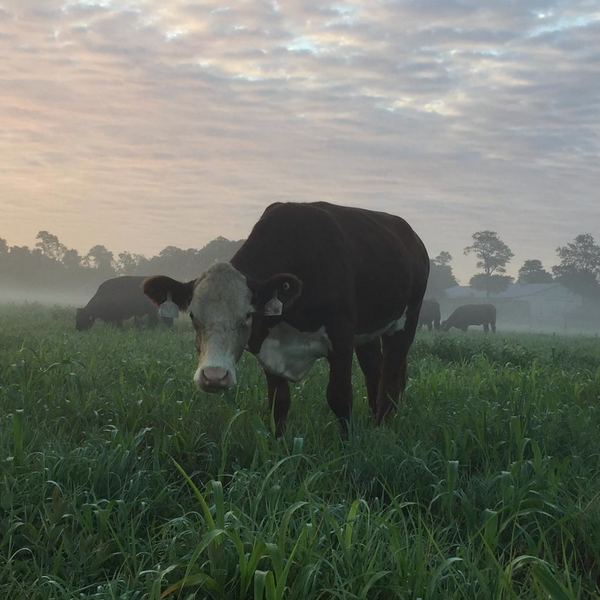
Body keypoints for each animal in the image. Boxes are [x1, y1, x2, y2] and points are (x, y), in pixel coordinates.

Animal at [143, 202, 428, 436]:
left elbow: (340, 397)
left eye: (248, 314)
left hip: (406, 321)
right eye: (193, 315)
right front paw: (279, 447)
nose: (214, 376)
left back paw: (383, 429)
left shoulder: (341, 338)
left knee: (390, 378)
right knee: (374, 373)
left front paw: (349, 447)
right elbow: (278, 403)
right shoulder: (270, 350)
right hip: (368, 334)